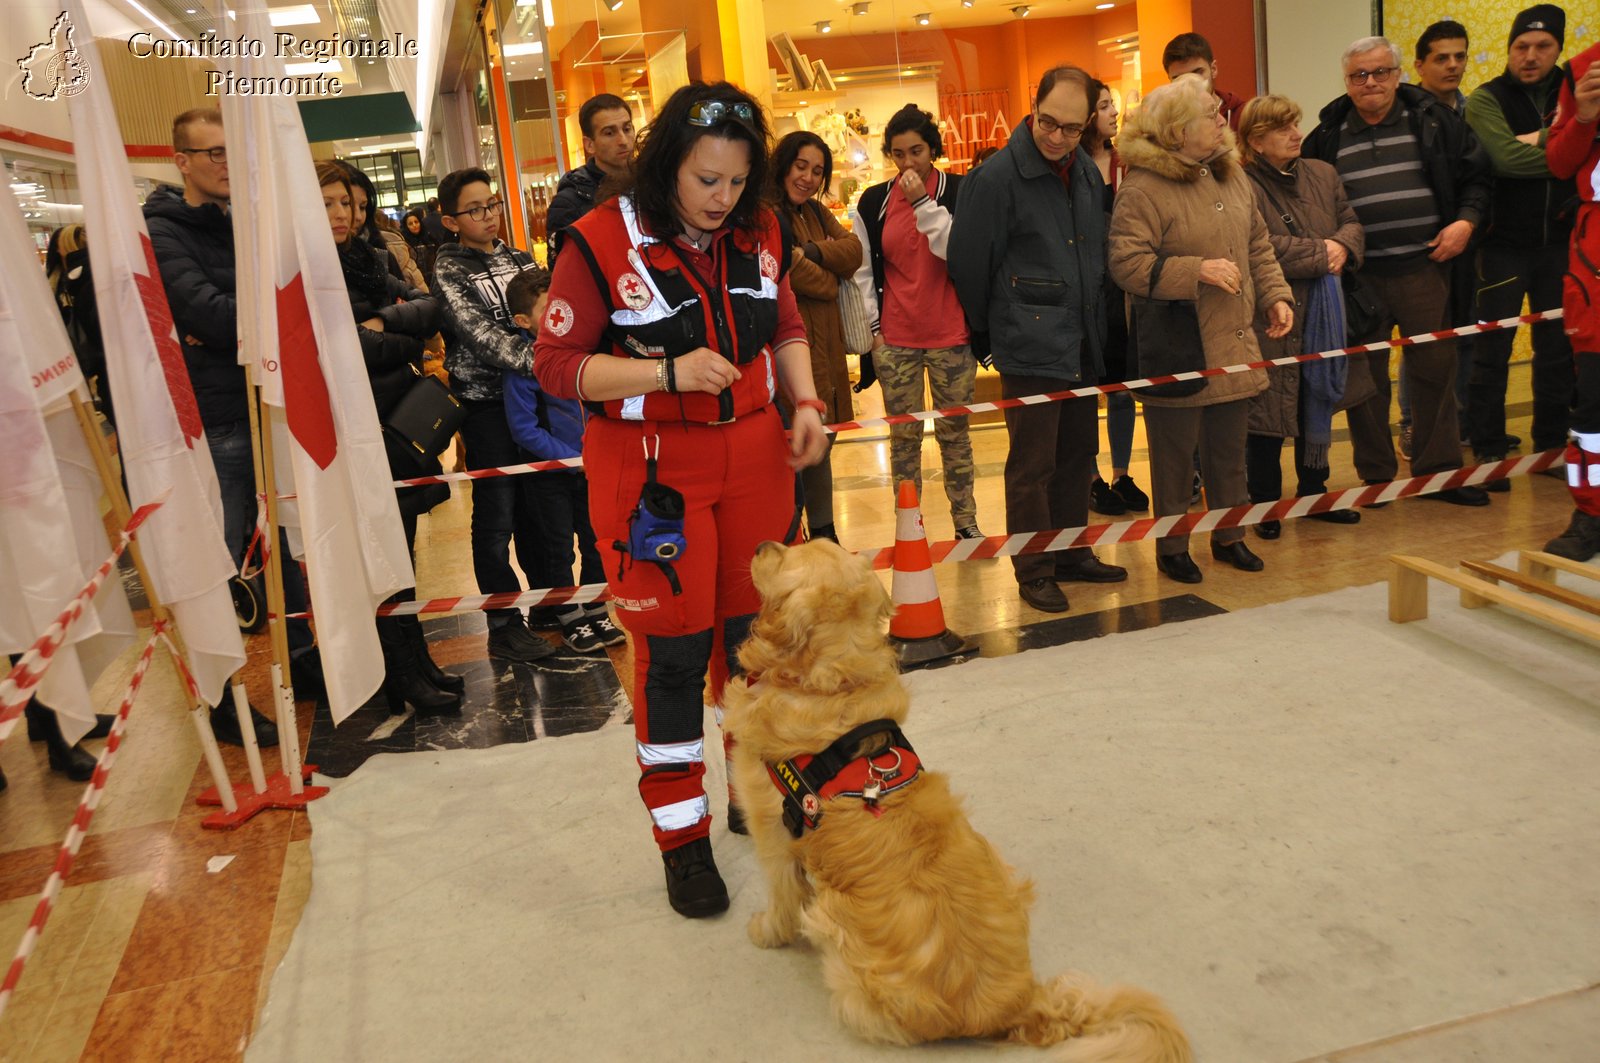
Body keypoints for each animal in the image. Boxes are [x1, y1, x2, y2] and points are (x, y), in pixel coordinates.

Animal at [723, 544, 1190, 1056]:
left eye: (789, 555)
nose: (762, 546)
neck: (833, 683)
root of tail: (1020, 1006)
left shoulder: (772, 834)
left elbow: (783, 897)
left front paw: (766, 930)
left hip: (842, 947)